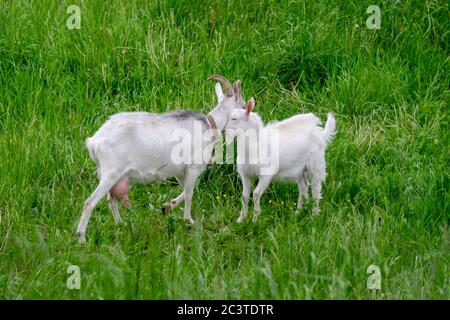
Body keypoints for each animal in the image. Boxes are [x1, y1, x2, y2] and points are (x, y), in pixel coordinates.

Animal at [77, 76, 246, 244]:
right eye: (243, 106)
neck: (210, 125)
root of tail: (94, 142)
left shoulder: (180, 171)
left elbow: (185, 190)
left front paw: (167, 206)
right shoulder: (192, 169)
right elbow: (189, 194)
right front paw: (188, 220)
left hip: (116, 176)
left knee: (111, 200)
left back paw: (121, 224)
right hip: (110, 174)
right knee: (90, 202)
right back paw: (82, 238)